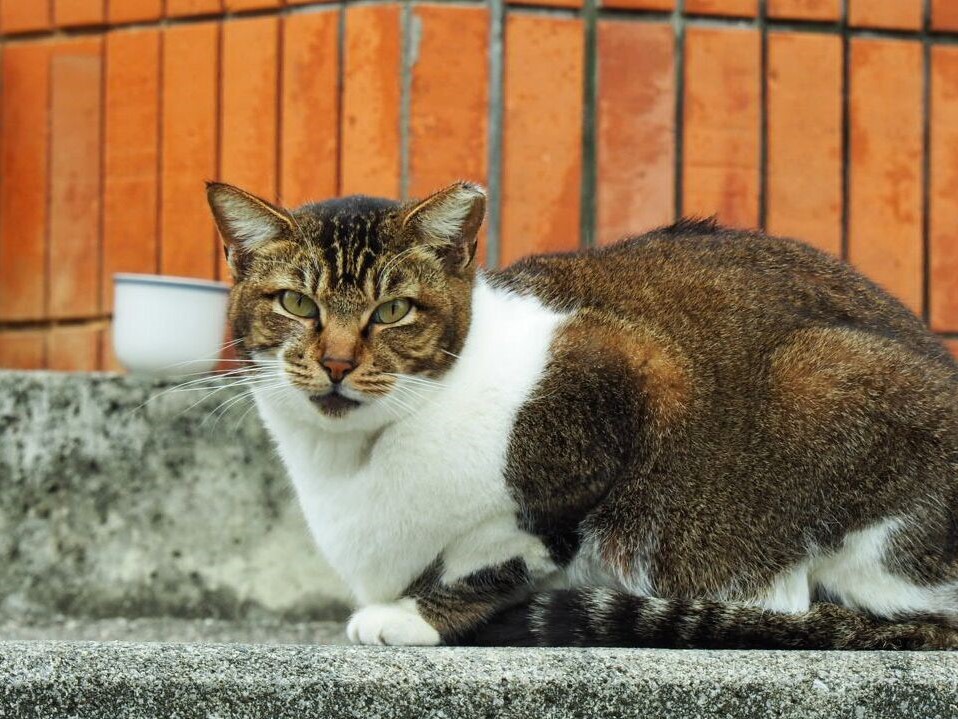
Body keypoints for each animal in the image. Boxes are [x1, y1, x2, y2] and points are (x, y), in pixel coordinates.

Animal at [204, 181, 958, 652]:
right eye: (296, 303)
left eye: (393, 311)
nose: (334, 362)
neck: (356, 459)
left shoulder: (632, 376)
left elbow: (505, 552)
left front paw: (411, 615)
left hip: (823, 376)